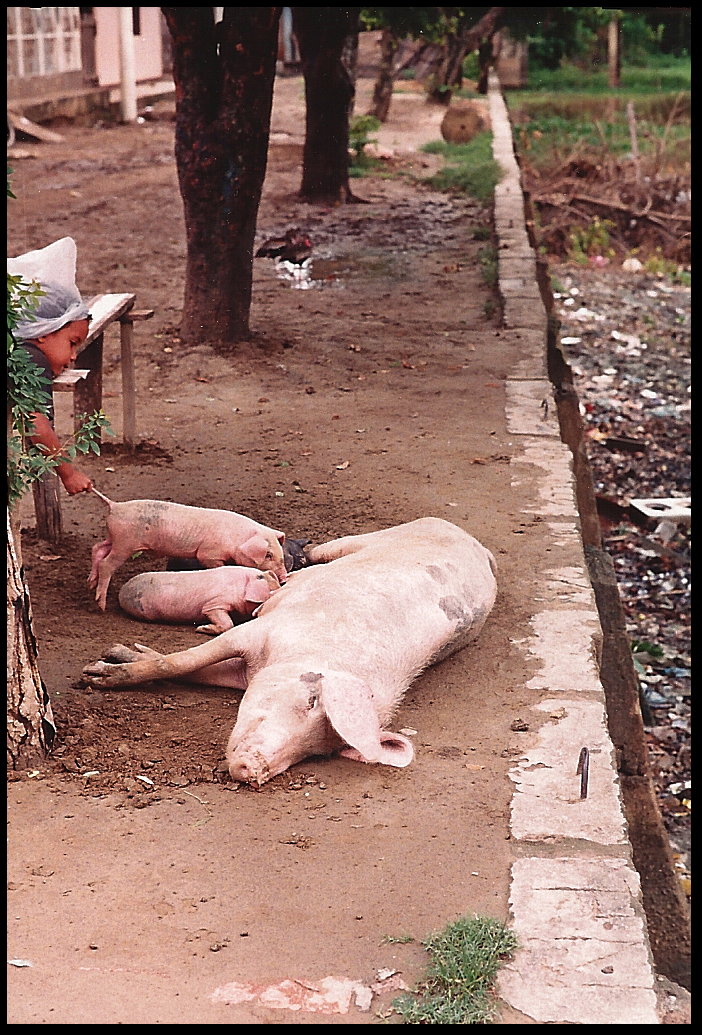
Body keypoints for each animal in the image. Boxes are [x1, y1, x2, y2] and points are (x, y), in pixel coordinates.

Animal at [89, 488, 287, 608]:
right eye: (268, 555)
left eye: (281, 556)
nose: (284, 576)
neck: (236, 539)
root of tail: (115, 506)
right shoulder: (209, 554)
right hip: (125, 542)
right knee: (106, 564)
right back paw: (101, 605)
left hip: (114, 538)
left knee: (97, 548)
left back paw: (91, 583)